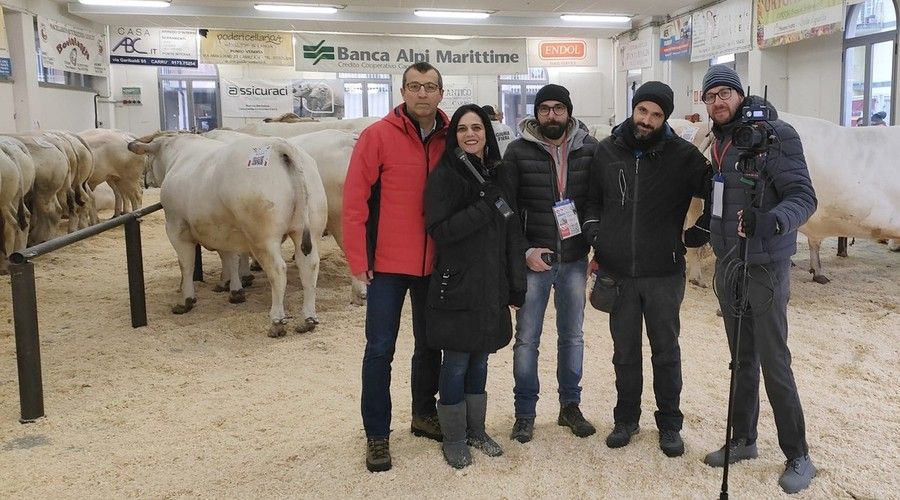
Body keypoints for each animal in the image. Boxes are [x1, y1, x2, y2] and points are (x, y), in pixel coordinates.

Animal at [128, 132, 318, 337]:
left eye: (149, 158)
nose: (147, 182)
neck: (179, 155)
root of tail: (278, 146)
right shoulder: (223, 229)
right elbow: (229, 257)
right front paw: (232, 288)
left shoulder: (176, 227)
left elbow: (186, 264)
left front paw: (186, 299)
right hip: (306, 231)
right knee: (309, 266)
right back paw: (308, 319)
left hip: (263, 238)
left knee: (278, 271)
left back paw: (276, 322)